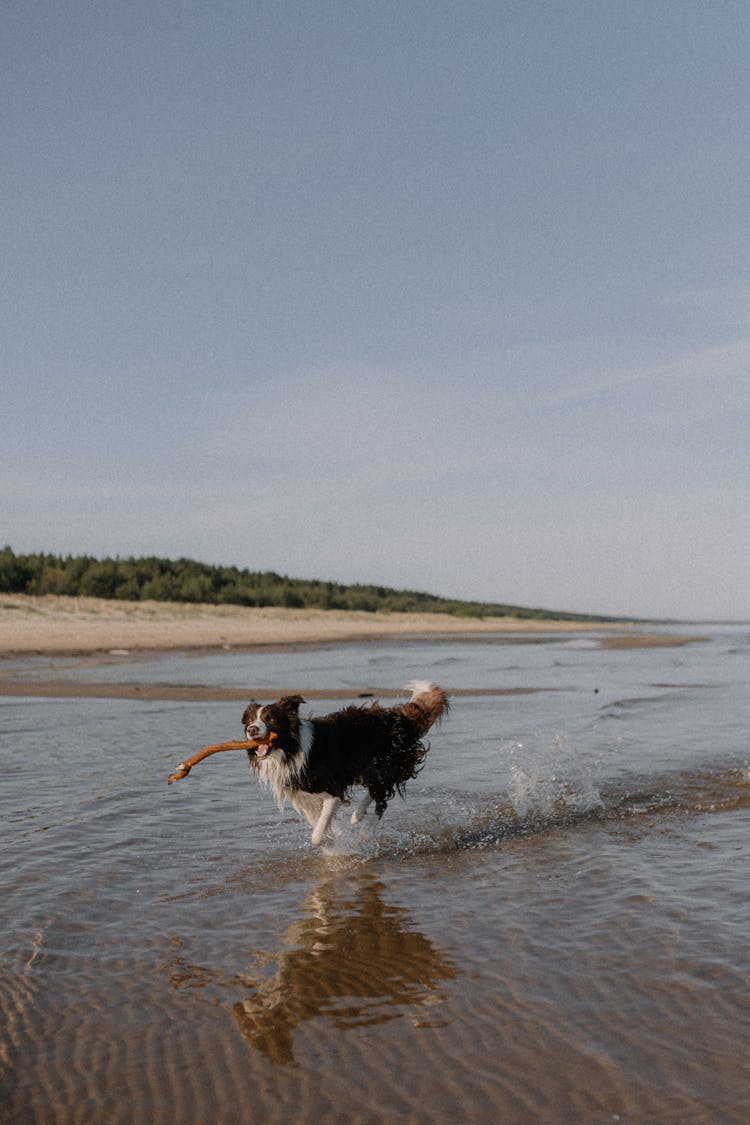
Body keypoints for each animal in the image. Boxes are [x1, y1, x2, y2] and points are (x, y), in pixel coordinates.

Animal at [244, 675, 449, 846]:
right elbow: (319, 820)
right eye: (251, 720)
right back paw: (358, 814)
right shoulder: (302, 795)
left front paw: (330, 843)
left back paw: (366, 832)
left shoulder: (333, 789)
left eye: (271, 719)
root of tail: (401, 718)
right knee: (375, 791)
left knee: (382, 800)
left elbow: (318, 832)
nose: (252, 730)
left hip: (386, 764)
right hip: (366, 768)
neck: (290, 749)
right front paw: (334, 836)